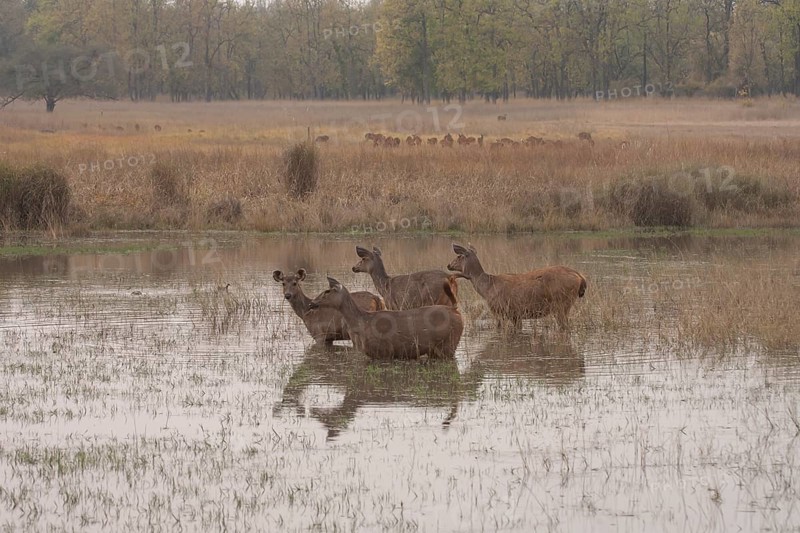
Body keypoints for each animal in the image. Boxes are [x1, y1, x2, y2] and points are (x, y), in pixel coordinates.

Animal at [308, 277, 463, 360]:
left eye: (327, 291)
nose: (311, 303)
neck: (361, 322)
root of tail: (455, 310)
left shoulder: (383, 351)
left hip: (449, 344)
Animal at [447, 243, 587, 330]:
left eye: (459, 256)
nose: (448, 265)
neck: (487, 288)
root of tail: (580, 276)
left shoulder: (502, 310)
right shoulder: (516, 314)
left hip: (562, 303)